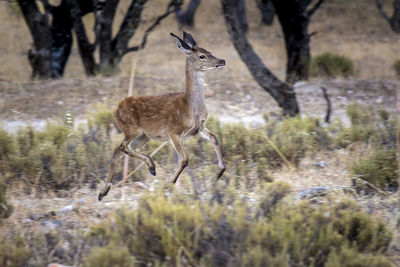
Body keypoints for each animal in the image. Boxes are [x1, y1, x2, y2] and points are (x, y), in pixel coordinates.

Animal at [97, 31, 225, 201]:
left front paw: (219, 173)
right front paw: (168, 185)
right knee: (122, 147)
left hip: (143, 136)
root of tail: (115, 110)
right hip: (132, 129)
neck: (190, 107)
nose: (222, 60)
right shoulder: (173, 131)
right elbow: (184, 160)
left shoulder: (199, 128)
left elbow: (215, 138)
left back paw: (103, 192)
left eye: (209, 51)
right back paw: (150, 168)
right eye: (202, 56)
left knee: (119, 149)